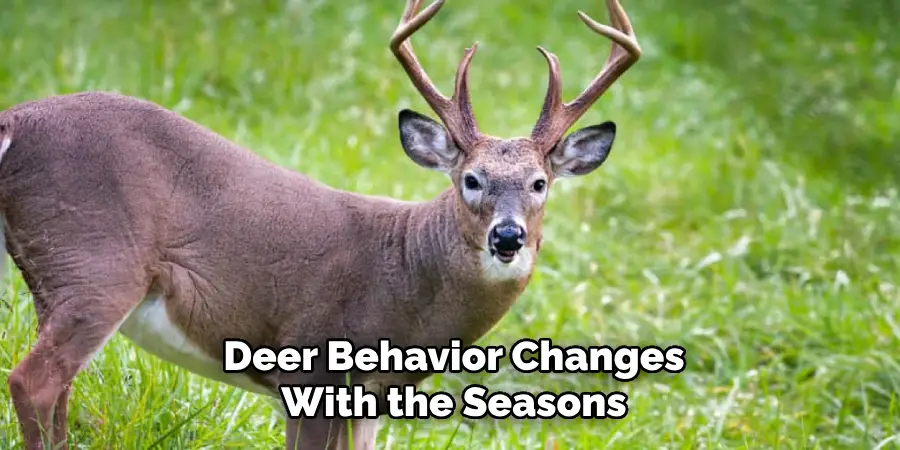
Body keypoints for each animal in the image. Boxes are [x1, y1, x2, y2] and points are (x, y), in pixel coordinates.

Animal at [0, 0, 640, 448]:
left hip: (52, 273)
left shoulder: (369, 401)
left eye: (539, 183)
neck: (404, 278)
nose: (507, 236)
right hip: (98, 262)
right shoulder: (308, 367)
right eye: (471, 179)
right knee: (33, 381)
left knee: (58, 389)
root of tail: (14, 120)